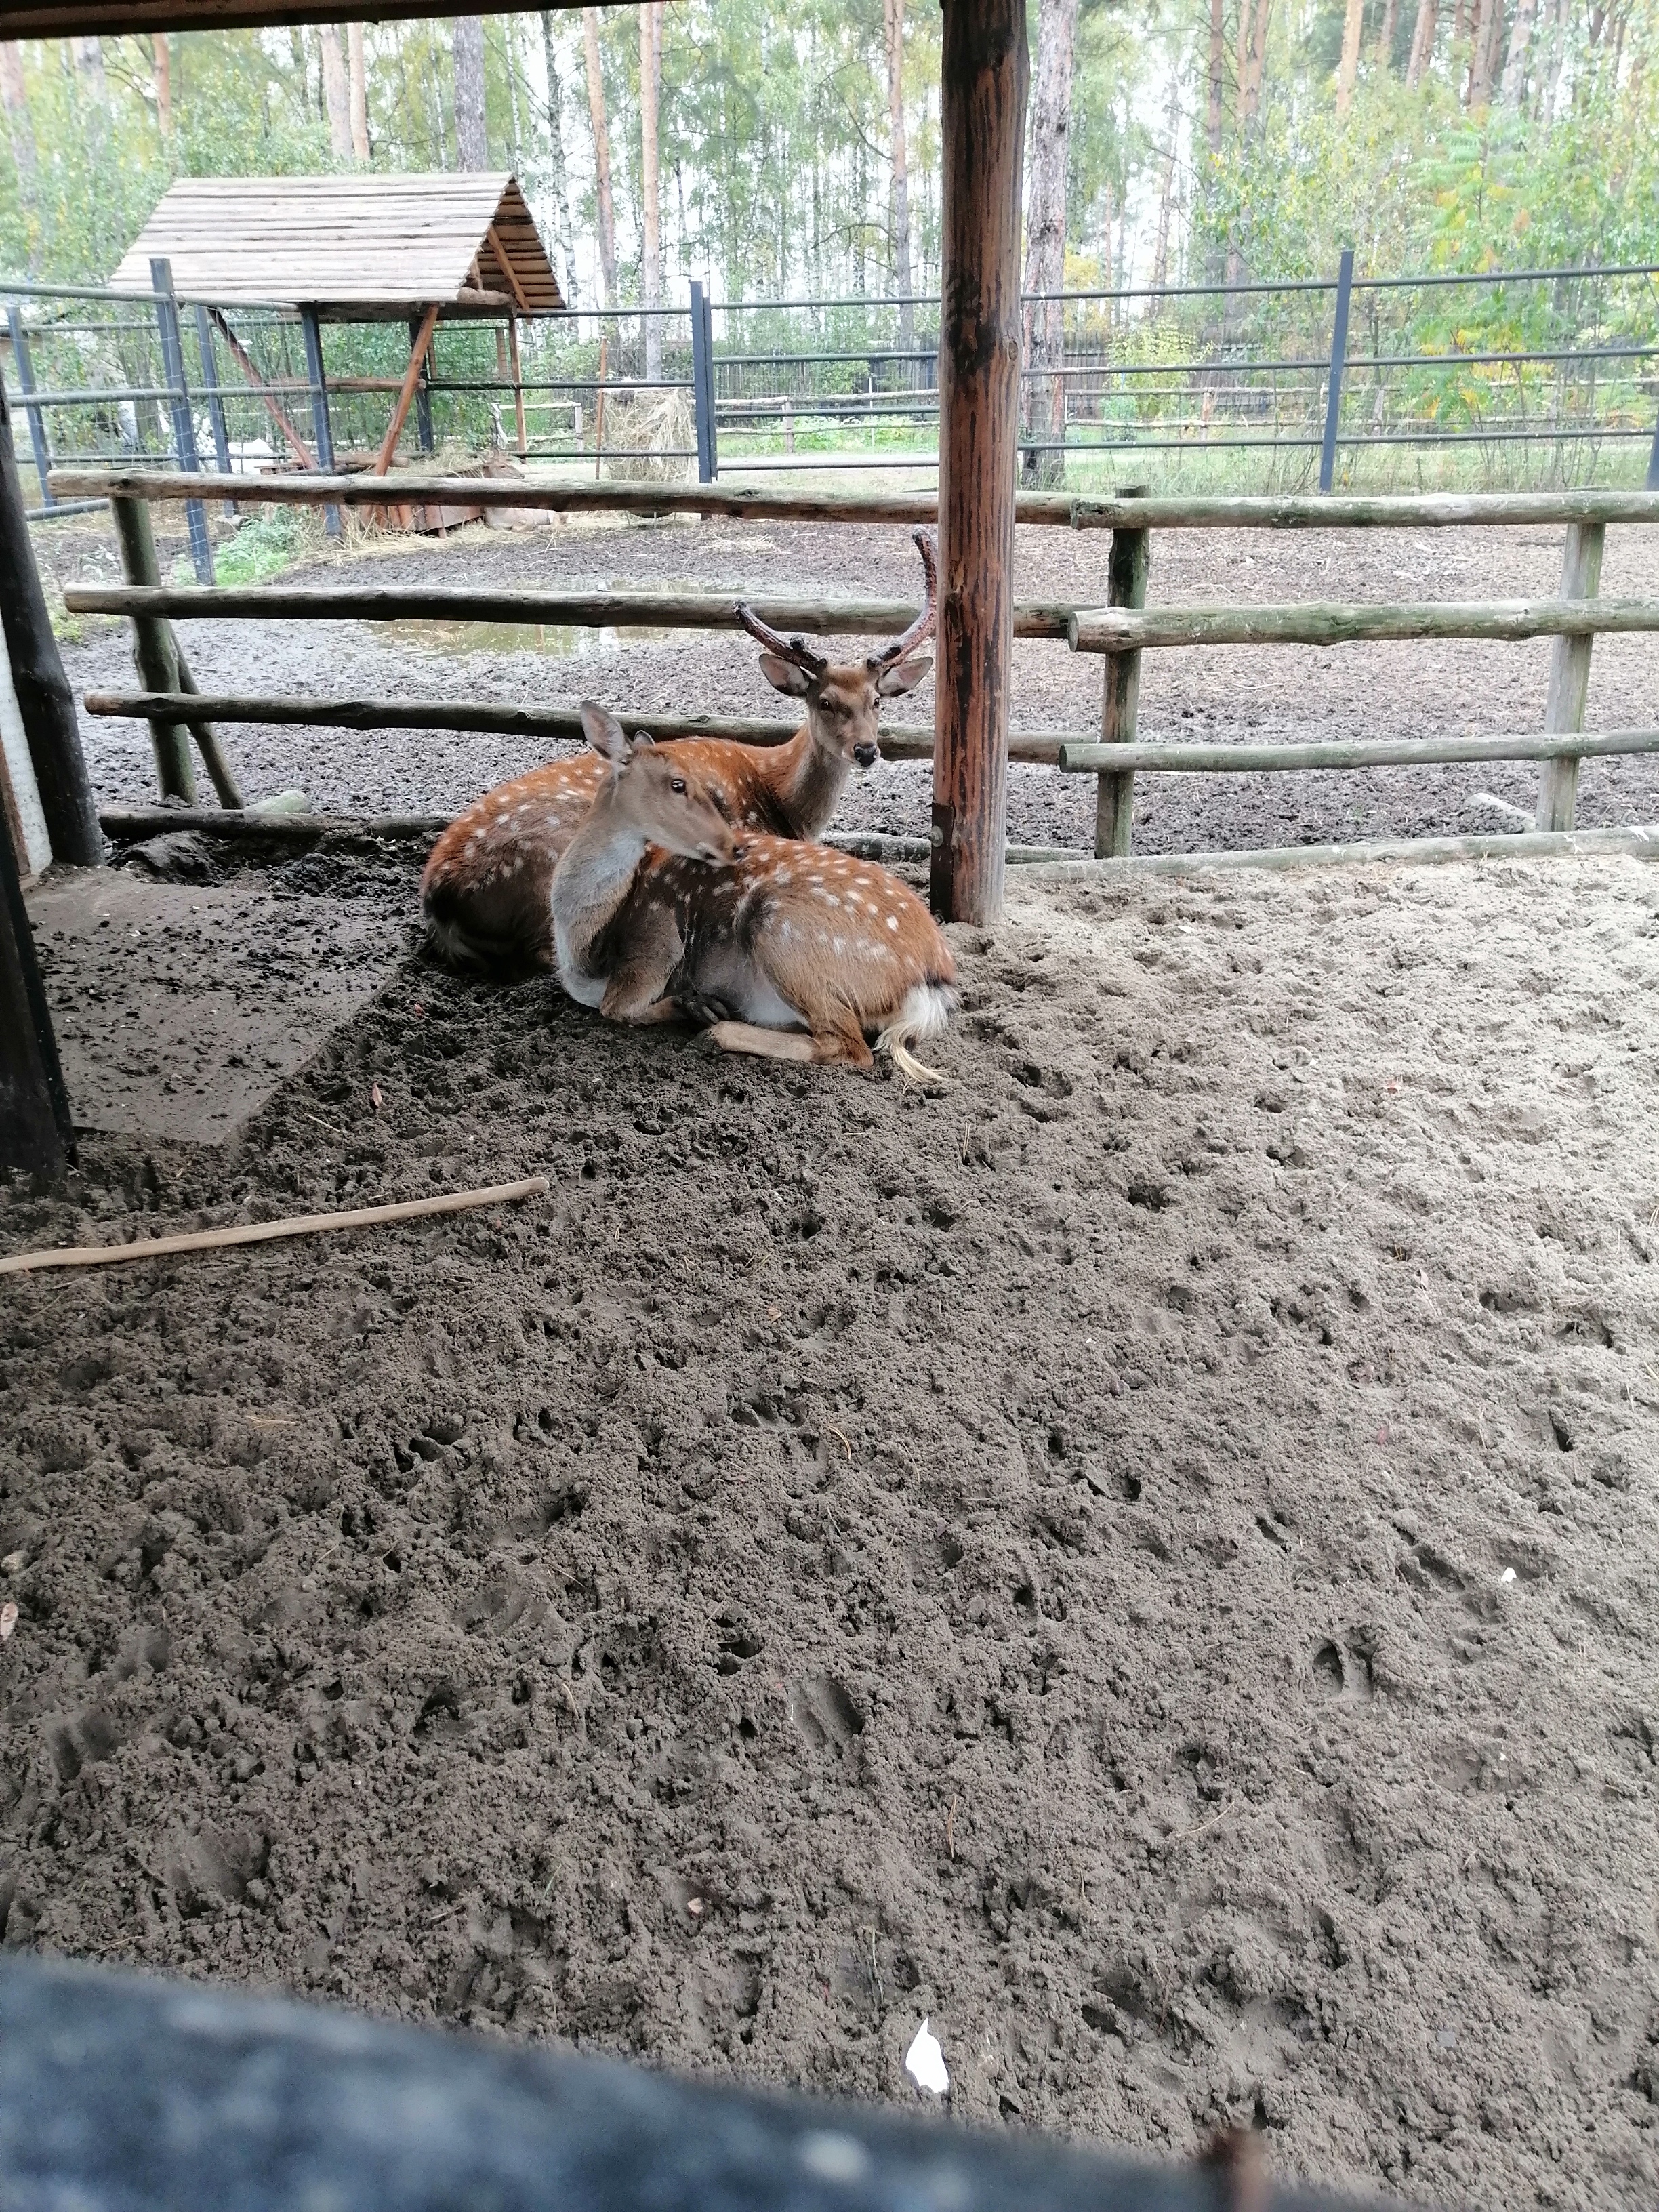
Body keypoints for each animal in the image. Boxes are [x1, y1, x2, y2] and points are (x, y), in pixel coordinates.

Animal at [552, 705, 956, 1082]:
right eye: (677, 784)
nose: (732, 845)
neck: (584, 953)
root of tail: (932, 983)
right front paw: (696, 1006)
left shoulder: (656, 941)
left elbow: (618, 1008)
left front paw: (693, 1007)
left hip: (781, 931)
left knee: (848, 1045)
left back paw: (716, 1033)